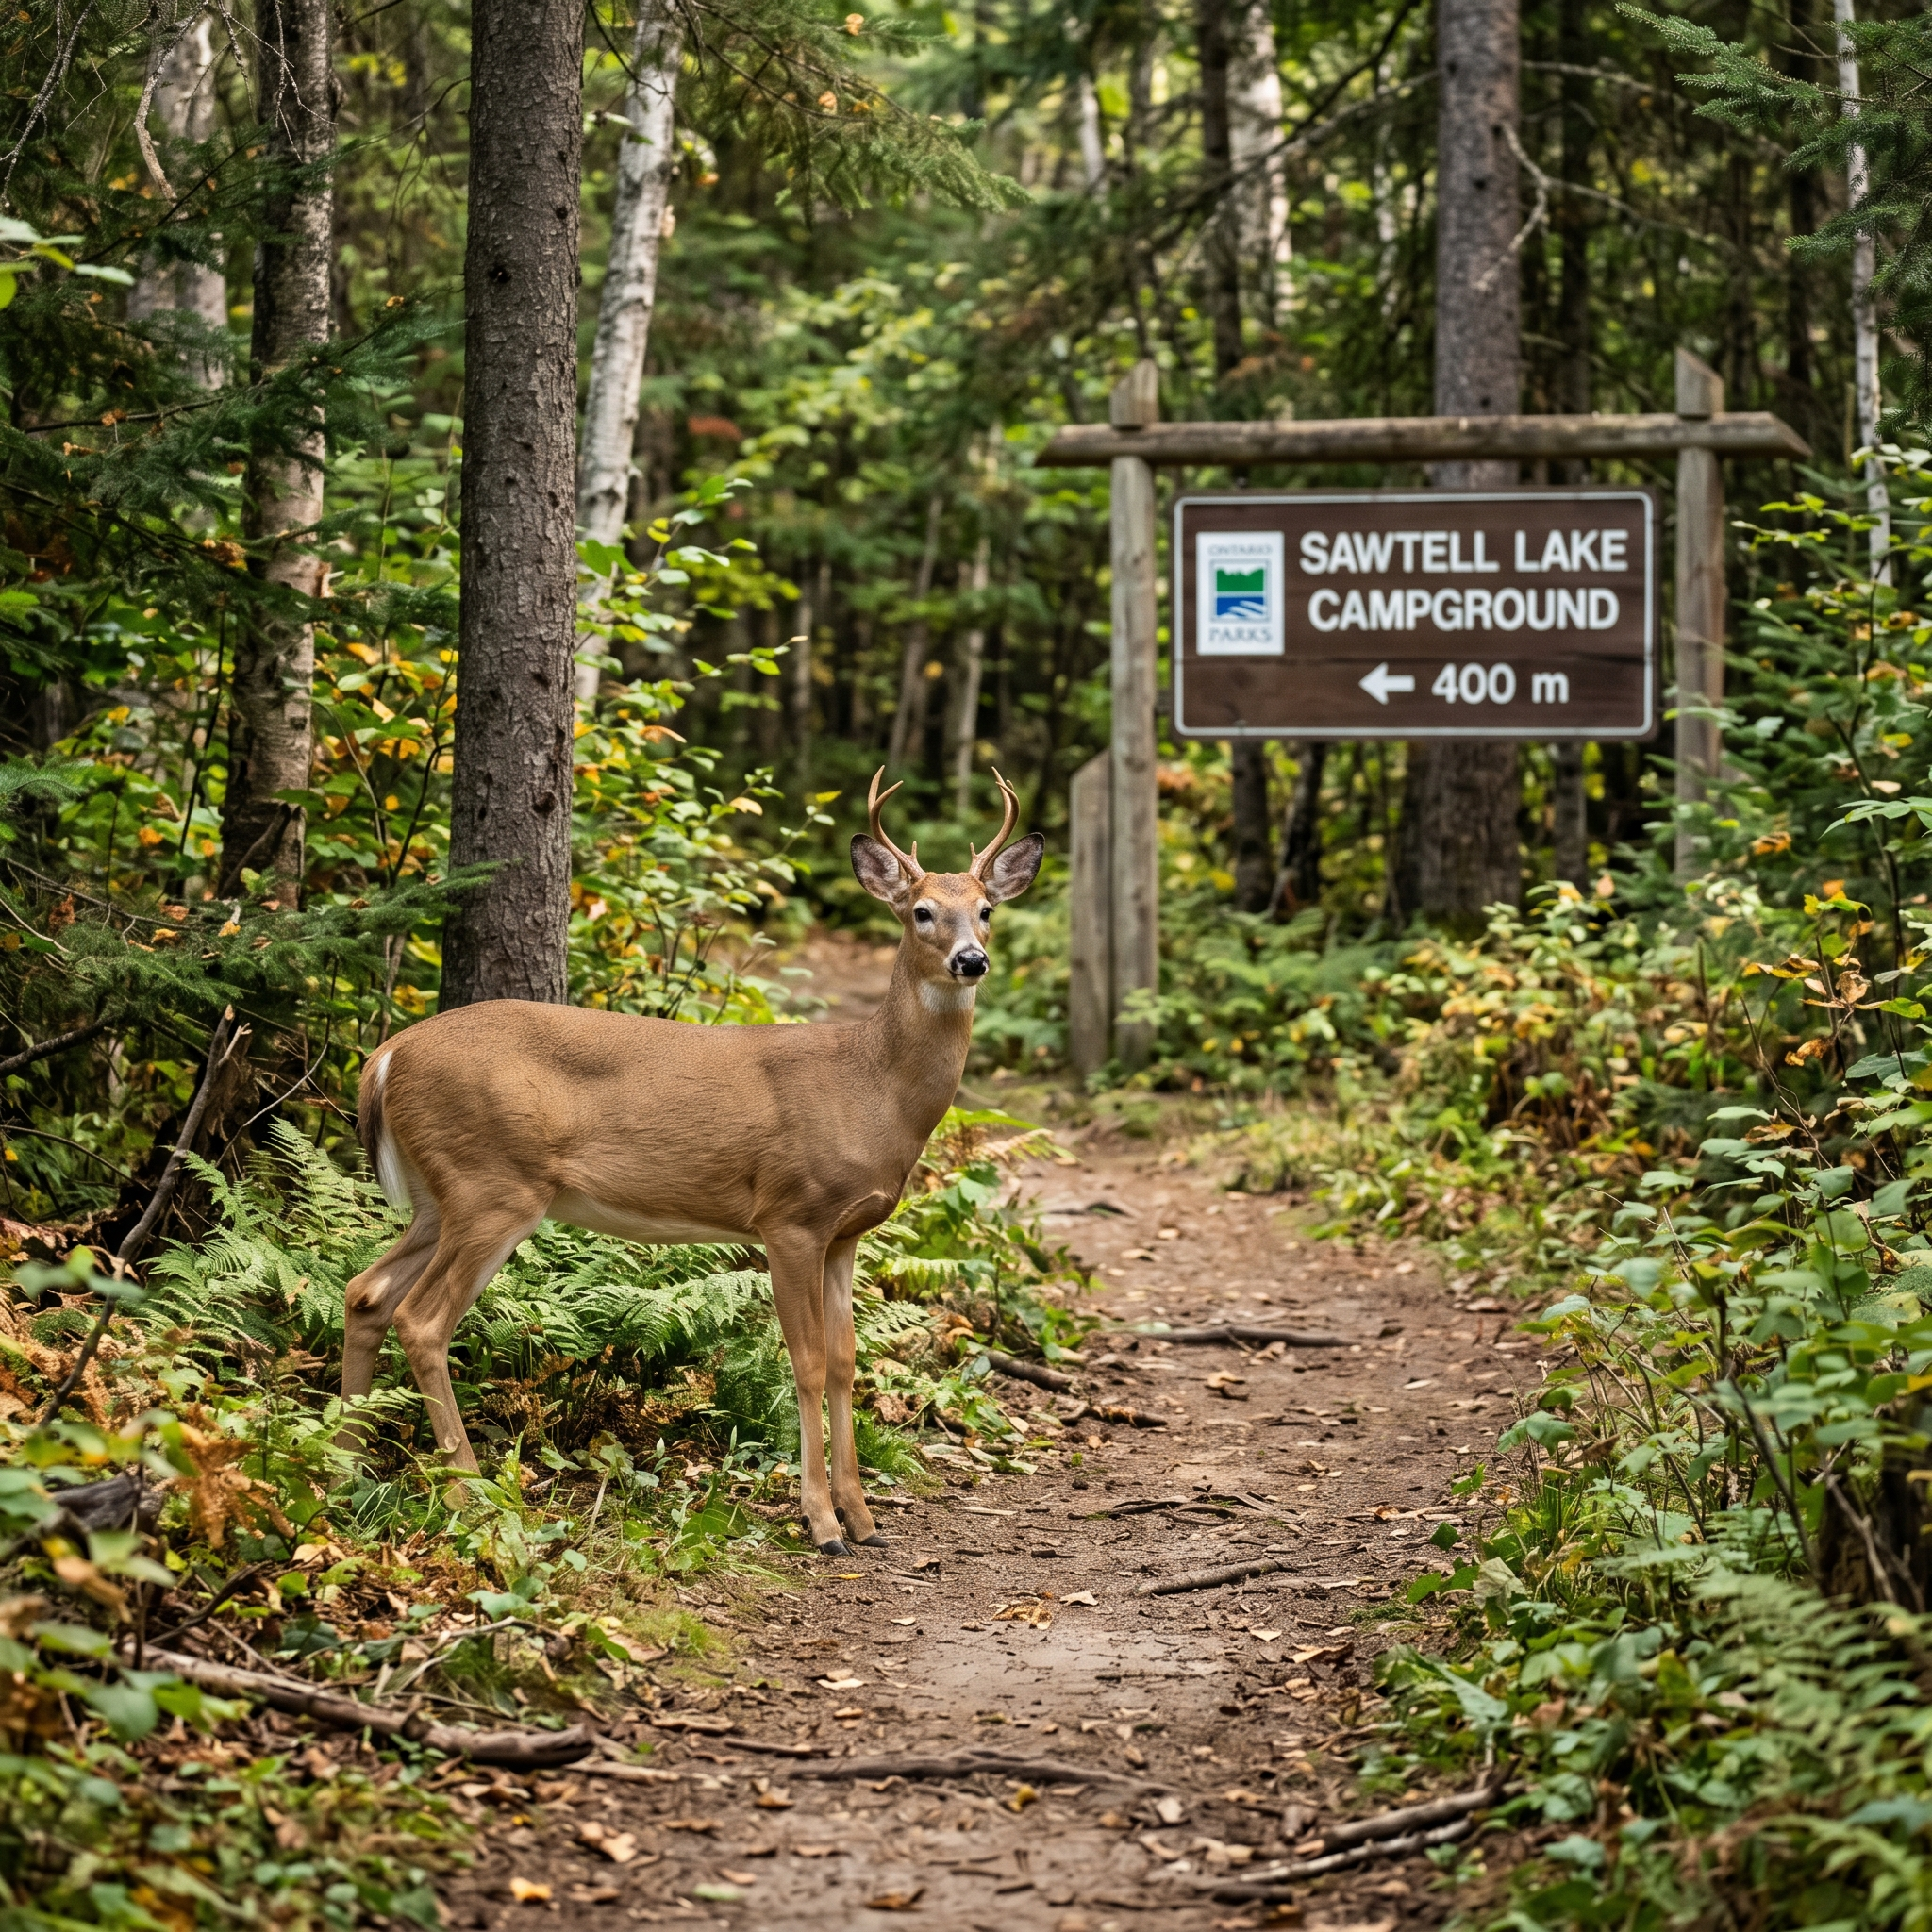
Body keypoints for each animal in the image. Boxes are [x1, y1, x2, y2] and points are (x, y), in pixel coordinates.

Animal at [343, 771, 1044, 1554]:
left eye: (986, 910)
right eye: (922, 911)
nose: (971, 960)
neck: (870, 1087)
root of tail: (384, 1057)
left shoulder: (846, 1234)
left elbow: (845, 1363)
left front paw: (865, 1520)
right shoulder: (790, 1216)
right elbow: (805, 1363)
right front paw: (822, 1522)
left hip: (441, 1196)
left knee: (365, 1294)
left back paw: (342, 1460)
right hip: (492, 1185)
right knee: (421, 1319)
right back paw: (469, 1494)